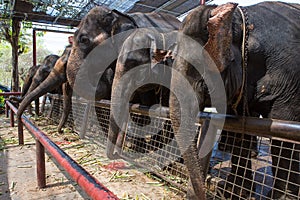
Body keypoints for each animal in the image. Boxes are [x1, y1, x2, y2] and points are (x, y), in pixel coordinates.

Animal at [170, 1, 300, 200]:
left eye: (196, 66)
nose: (202, 191)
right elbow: (239, 124)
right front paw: (235, 192)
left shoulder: (290, 76)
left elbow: (285, 124)